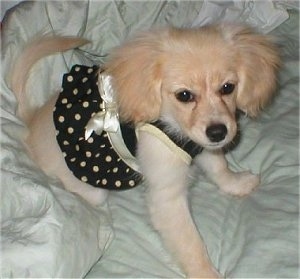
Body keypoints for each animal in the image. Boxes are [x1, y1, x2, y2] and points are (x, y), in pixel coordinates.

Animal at [9, 25, 282, 278]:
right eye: (184, 95)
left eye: (227, 88)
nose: (218, 132)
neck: (175, 129)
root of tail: (31, 121)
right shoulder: (167, 198)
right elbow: (190, 243)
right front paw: (205, 273)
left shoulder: (202, 147)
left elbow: (219, 168)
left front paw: (236, 183)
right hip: (91, 190)